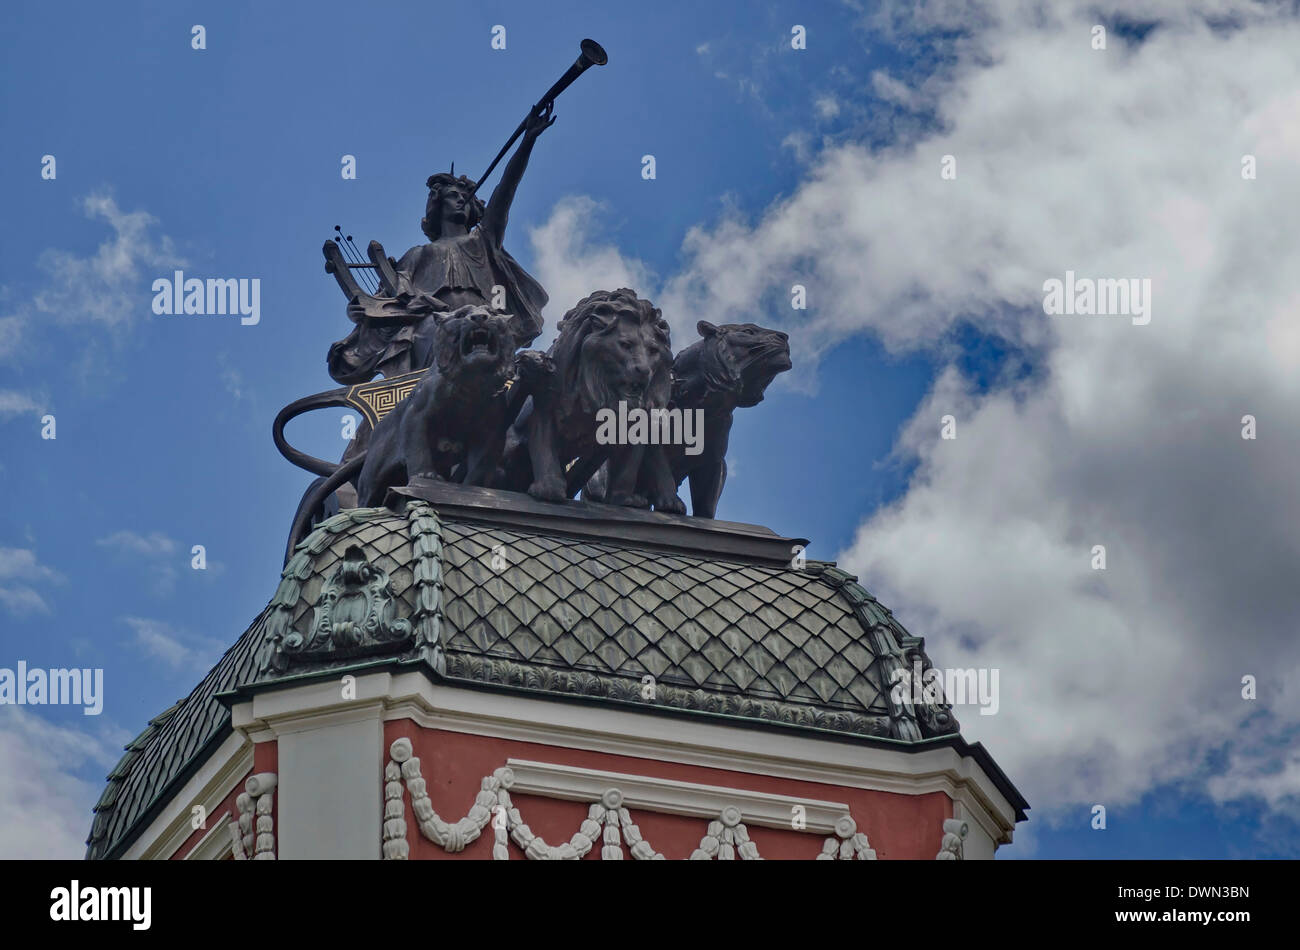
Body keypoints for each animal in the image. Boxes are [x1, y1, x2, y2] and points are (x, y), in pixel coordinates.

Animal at [496, 289, 681, 512]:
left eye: (653, 350)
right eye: (625, 345)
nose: (644, 371)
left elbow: (628, 467)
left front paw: (624, 499)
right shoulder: (544, 402)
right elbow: (544, 445)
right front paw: (549, 490)